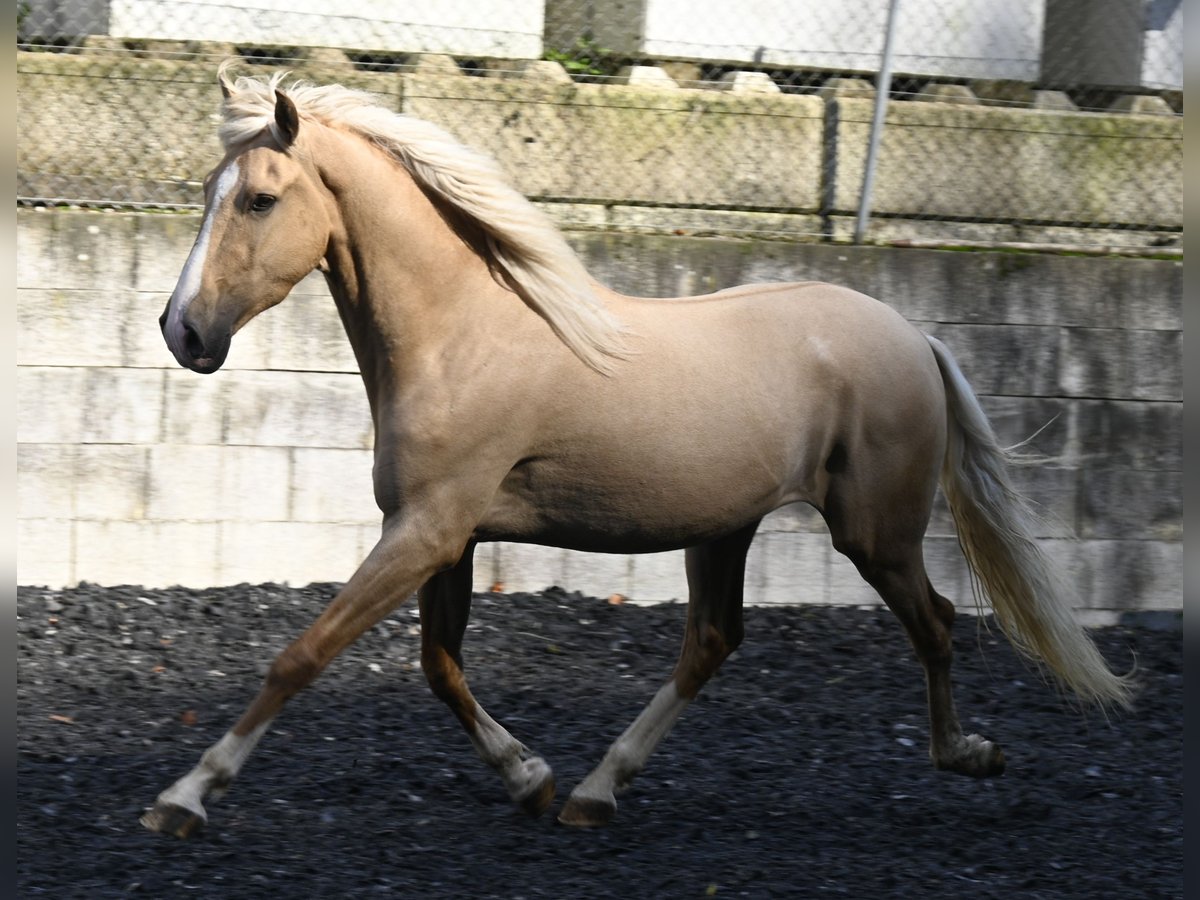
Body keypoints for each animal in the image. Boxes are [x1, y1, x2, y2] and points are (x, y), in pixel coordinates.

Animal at [142, 68, 1132, 840]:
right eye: (208, 191)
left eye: (260, 198)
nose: (182, 332)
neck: (462, 335)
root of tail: (916, 337)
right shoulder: (443, 537)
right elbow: (438, 666)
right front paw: (531, 779)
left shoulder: (426, 531)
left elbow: (302, 655)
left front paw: (184, 797)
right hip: (726, 528)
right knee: (713, 642)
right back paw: (594, 791)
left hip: (874, 533)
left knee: (935, 622)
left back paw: (968, 753)